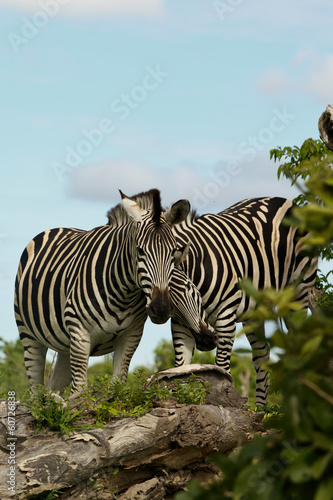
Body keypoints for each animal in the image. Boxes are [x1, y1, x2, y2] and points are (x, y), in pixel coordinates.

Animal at [14, 189, 214, 392]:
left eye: (172, 252)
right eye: (140, 250)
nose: (161, 309)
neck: (123, 295)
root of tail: (60, 228)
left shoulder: (131, 337)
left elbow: (116, 389)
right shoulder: (79, 335)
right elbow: (79, 392)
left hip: (65, 346)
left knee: (51, 387)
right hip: (29, 334)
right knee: (36, 390)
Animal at [166, 196, 320, 406]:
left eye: (188, 289)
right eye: (165, 303)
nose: (206, 341)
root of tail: (284, 201)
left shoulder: (225, 317)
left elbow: (222, 367)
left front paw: (224, 400)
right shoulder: (180, 323)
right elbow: (180, 367)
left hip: (299, 294)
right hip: (255, 313)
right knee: (262, 355)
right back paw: (261, 409)